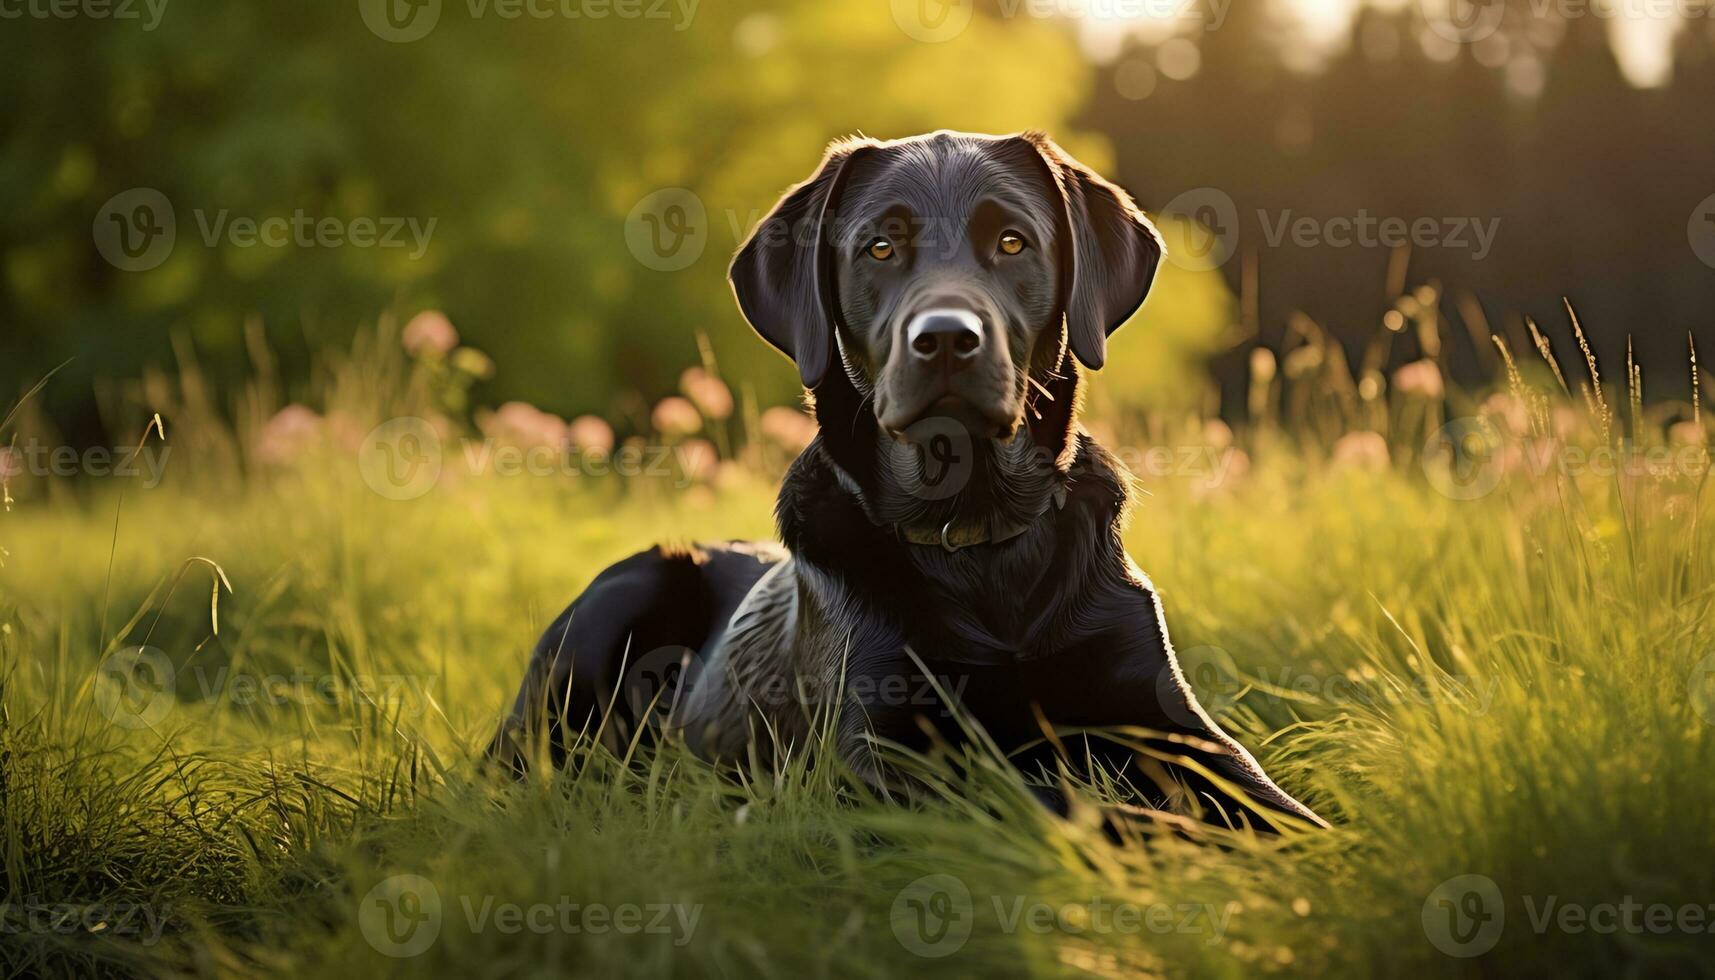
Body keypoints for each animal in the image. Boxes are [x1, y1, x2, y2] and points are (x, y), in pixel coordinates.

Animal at [490, 132, 1330, 837]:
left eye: (1012, 241)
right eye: (880, 246)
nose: (947, 339)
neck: (979, 542)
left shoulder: (1178, 726)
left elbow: (1285, 817)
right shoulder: (877, 762)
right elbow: (1076, 807)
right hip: (615, 604)